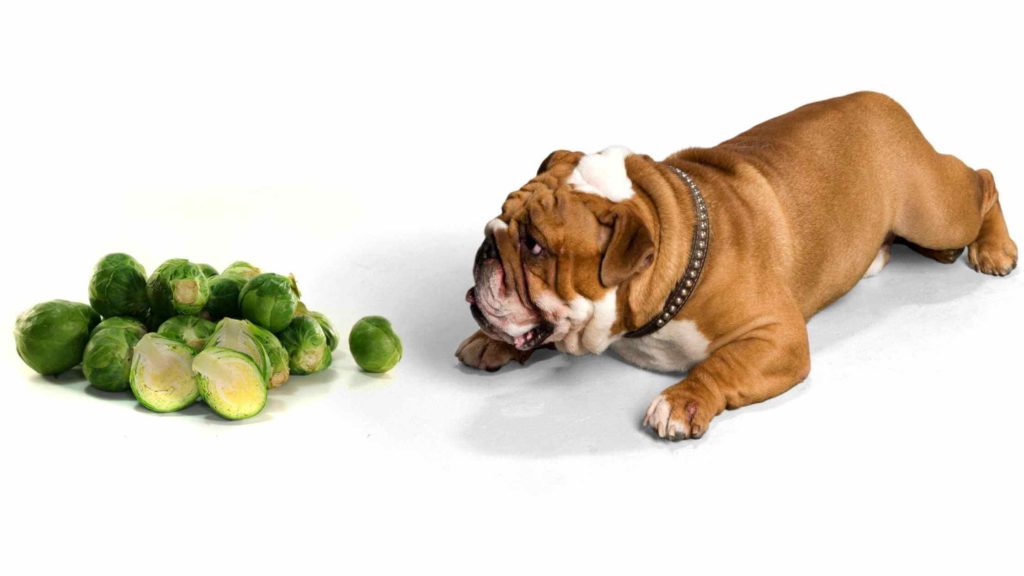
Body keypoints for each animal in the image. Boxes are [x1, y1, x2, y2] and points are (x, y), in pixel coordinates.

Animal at [456, 91, 1015, 436]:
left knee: (983, 179)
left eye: (535, 247)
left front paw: (681, 402)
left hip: (934, 208)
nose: (486, 247)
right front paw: (488, 341)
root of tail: (881, 100)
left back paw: (993, 249)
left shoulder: (777, 335)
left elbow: (720, 364)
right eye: (501, 218)